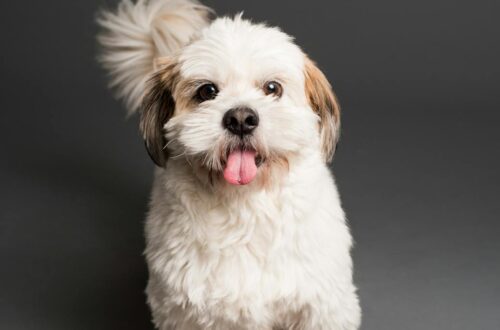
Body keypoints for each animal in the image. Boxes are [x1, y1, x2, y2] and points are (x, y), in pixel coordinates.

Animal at [97, 0, 362, 328]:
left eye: (272, 88)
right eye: (207, 91)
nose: (240, 118)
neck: (245, 205)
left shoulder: (324, 305)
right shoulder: (182, 311)